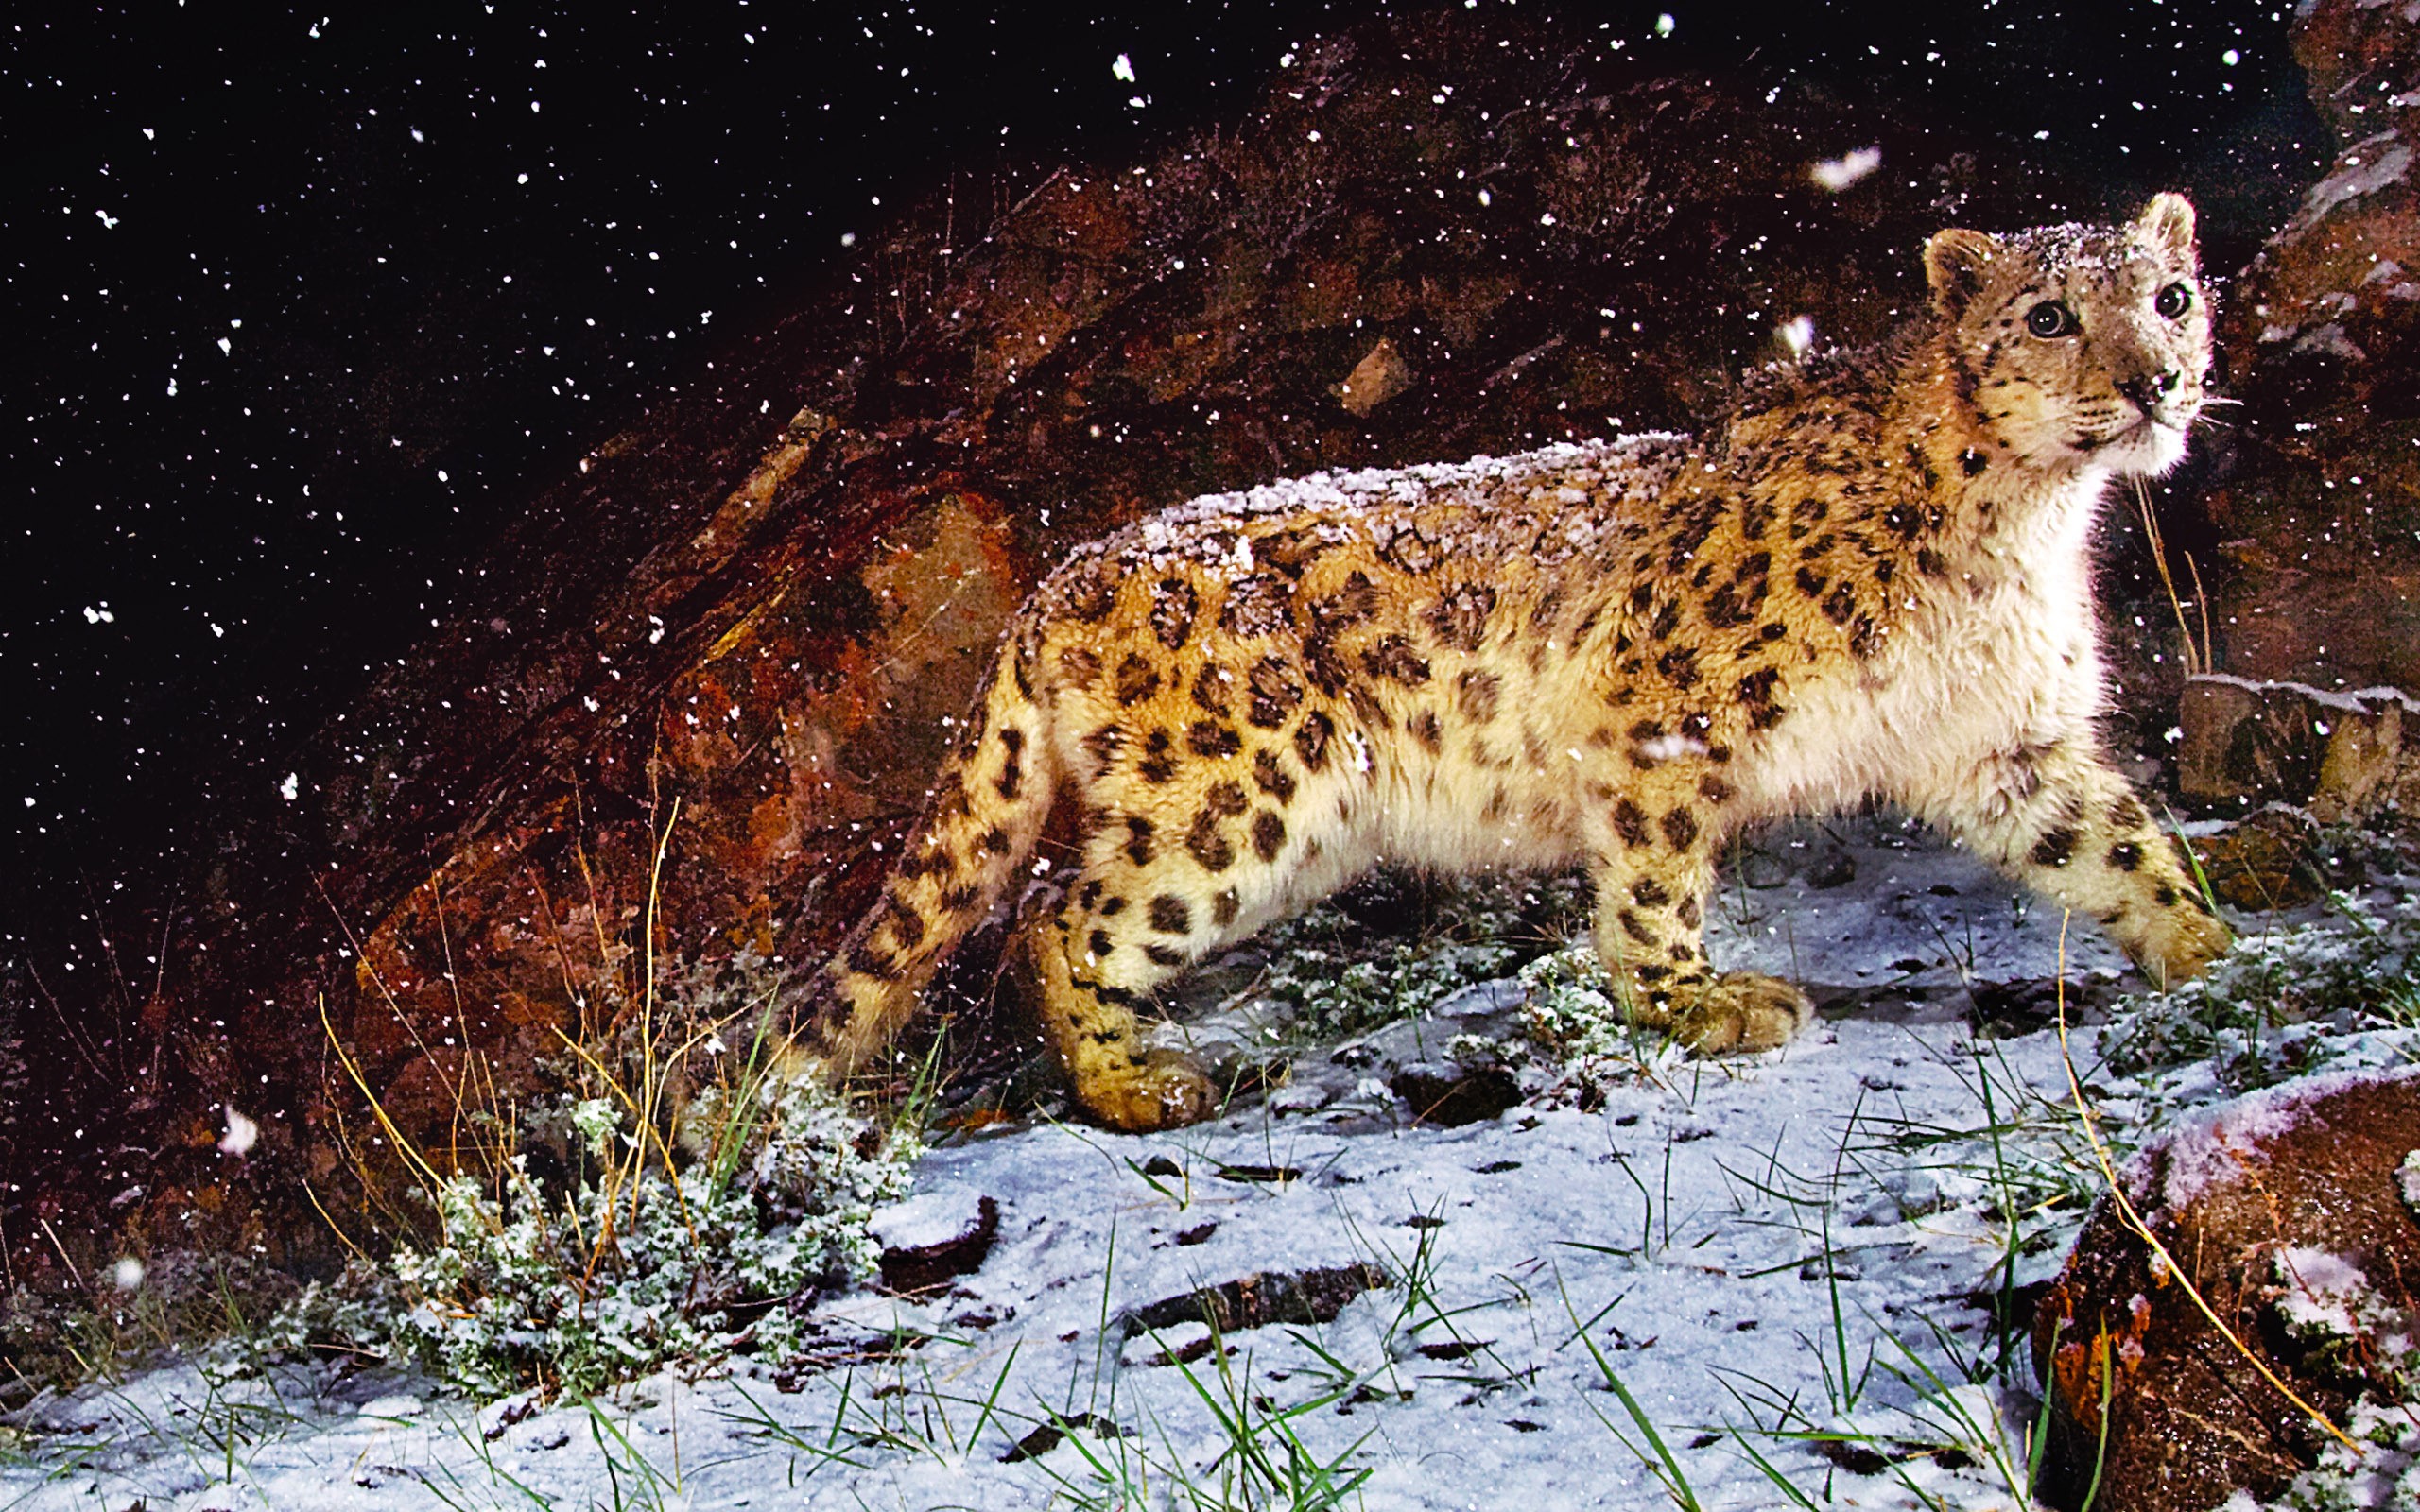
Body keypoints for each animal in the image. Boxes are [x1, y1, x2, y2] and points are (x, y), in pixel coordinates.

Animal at [794, 192, 2231, 1133]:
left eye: (2171, 297)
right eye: (2048, 314)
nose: (2154, 380)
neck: (2028, 528)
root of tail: (1063, 574)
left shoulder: (2000, 739)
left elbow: (2114, 839)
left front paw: (2214, 950)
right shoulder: (1664, 712)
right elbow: (1653, 879)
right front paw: (1694, 1002)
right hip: (1242, 803)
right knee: (1055, 916)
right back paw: (1135, 1084)